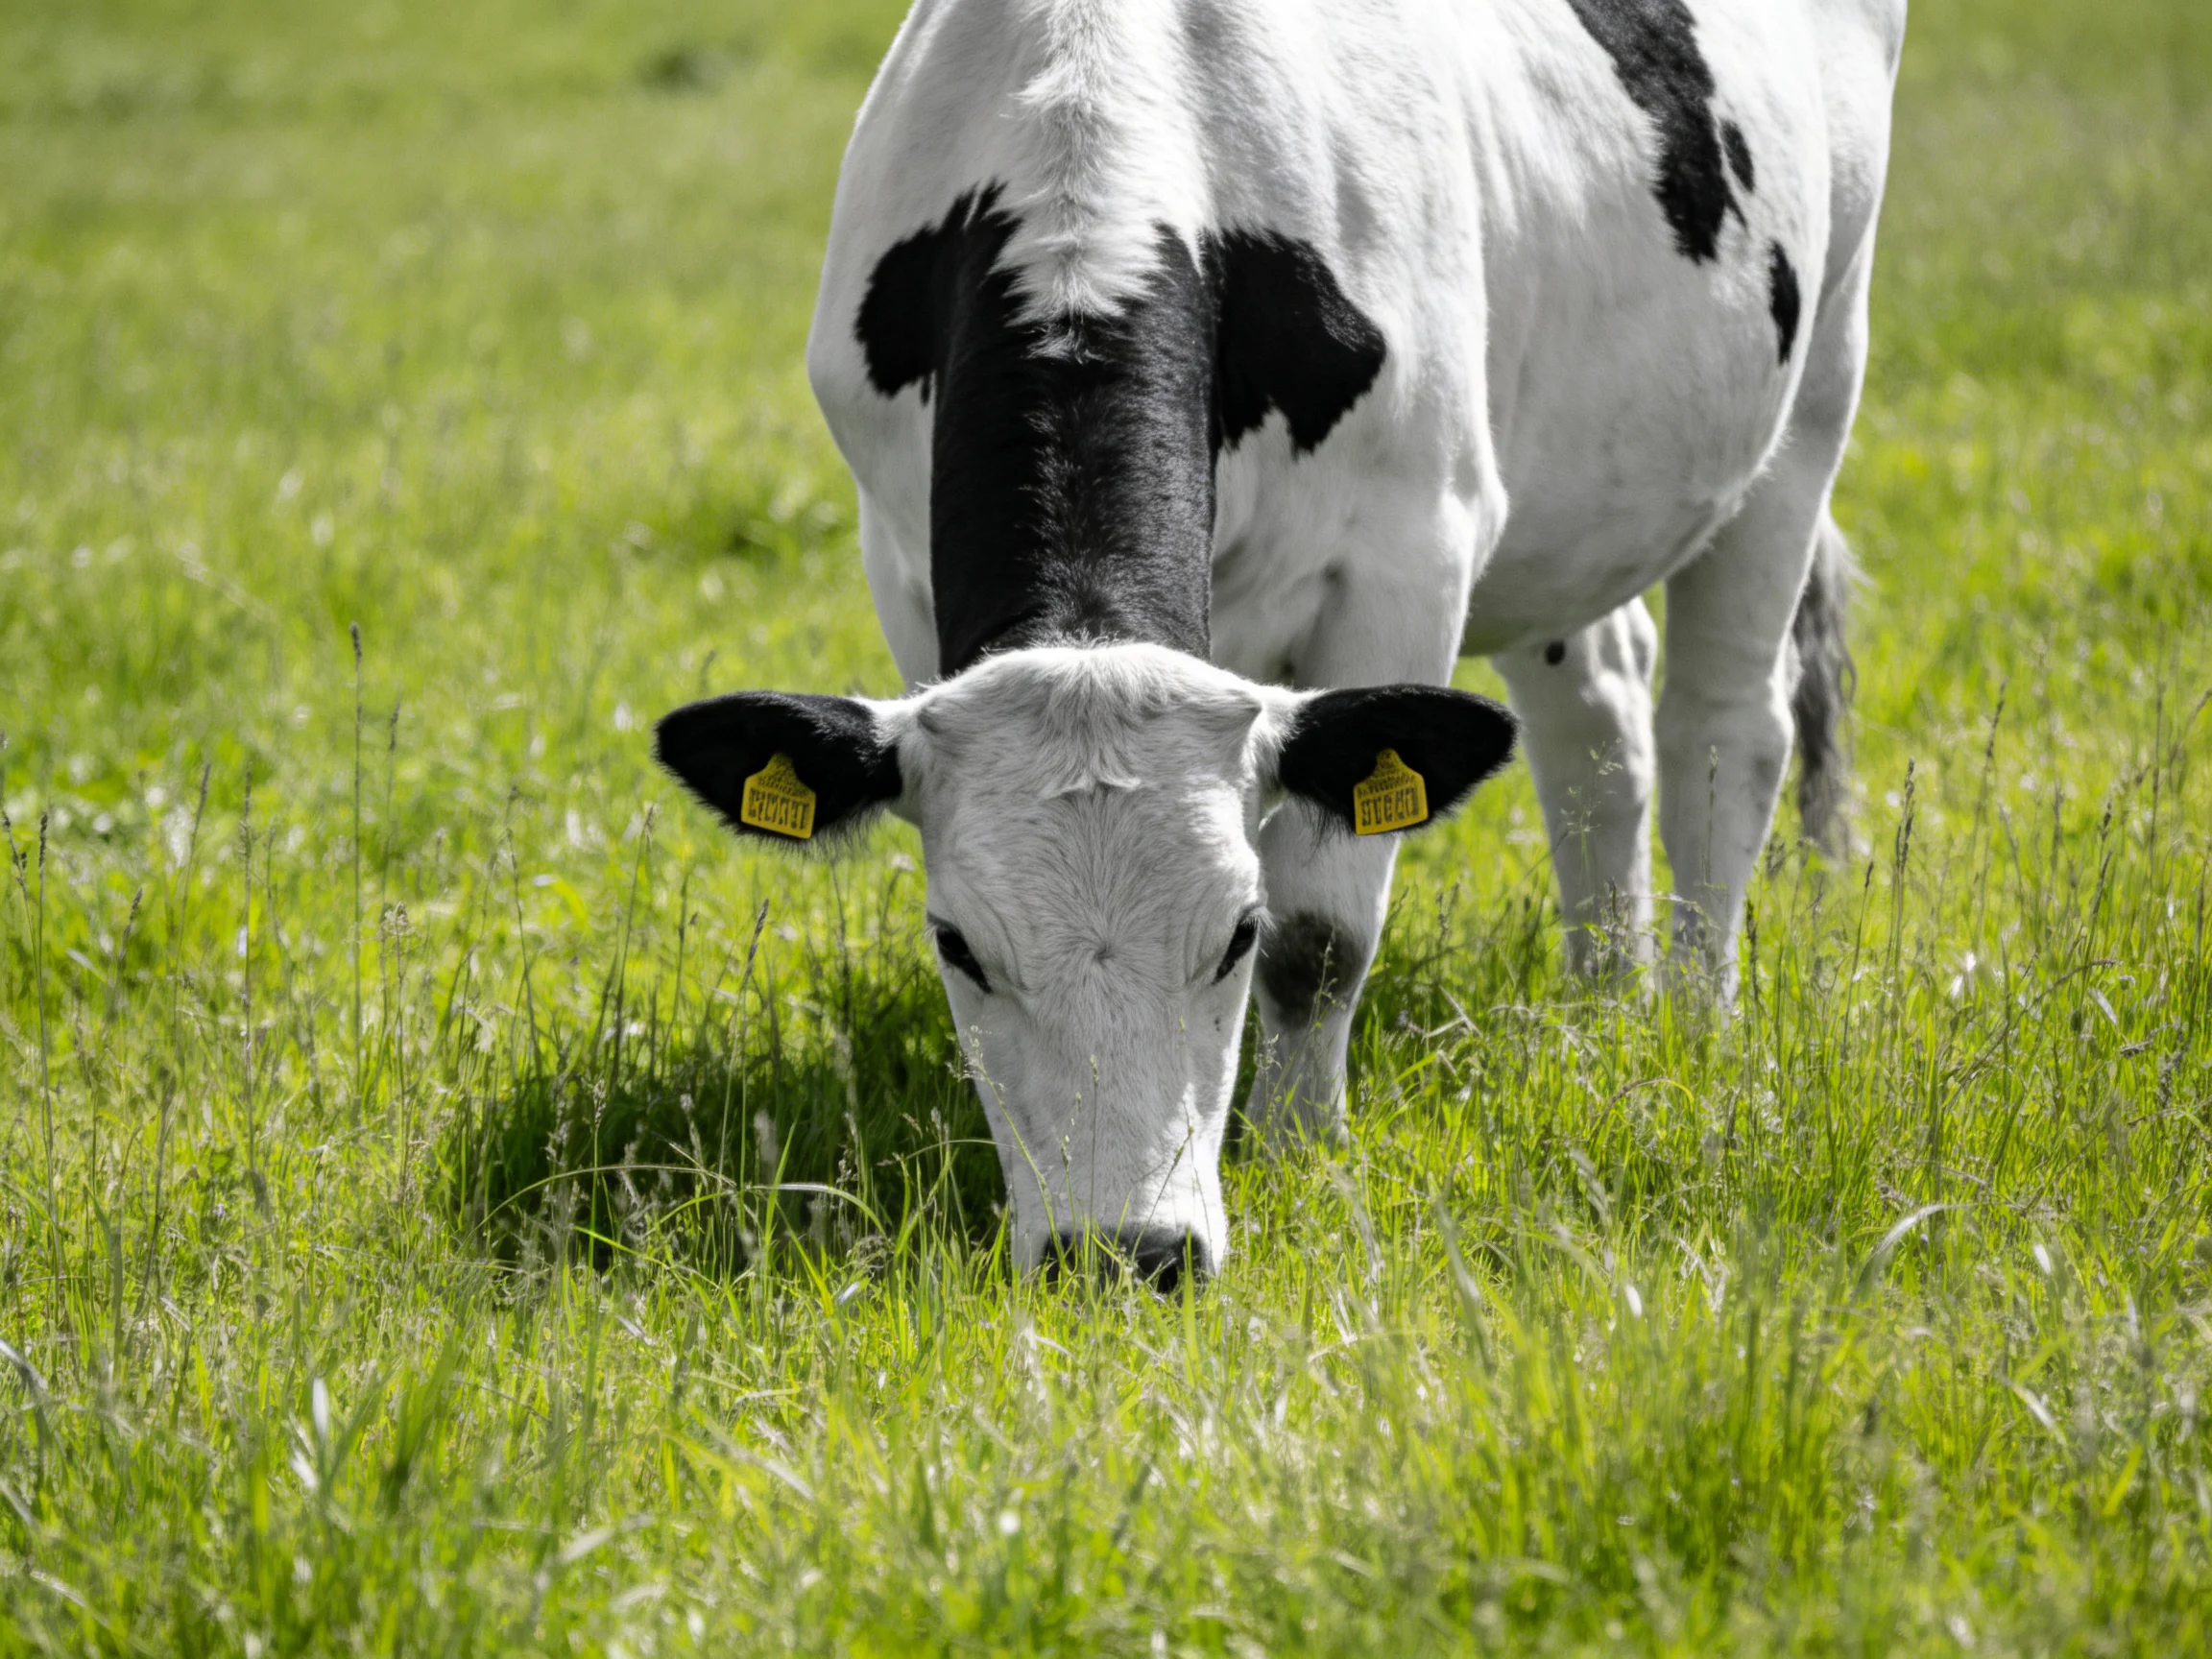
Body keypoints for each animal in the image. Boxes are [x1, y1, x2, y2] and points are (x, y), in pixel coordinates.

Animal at [656, 0, 1905, 1287]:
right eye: (958, 946)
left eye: (1236, 935)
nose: (1125, 1255)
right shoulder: (903, 564)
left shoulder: (1409, 555)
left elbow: (1327, 937)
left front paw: (1302, 1151)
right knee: (1598, 712)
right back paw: (1606, 1002)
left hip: (1817, 380)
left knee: (1728, 728)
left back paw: (1695, 1024)